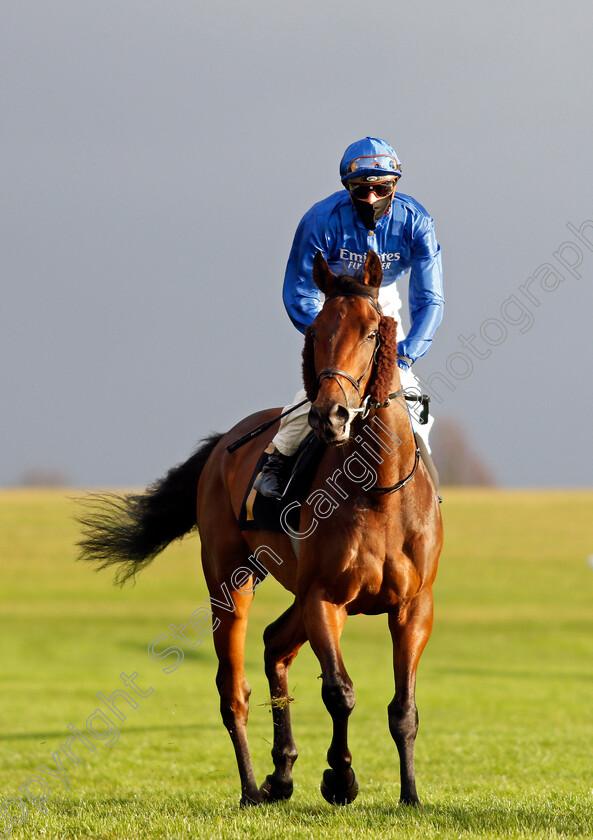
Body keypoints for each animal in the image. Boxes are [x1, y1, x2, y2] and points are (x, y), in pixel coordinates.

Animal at [77, 249, 440, 808]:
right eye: (317, 331)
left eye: (370, 331)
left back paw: (281, 773)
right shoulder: (324, 598)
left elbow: (403, 709)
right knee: (234, 689)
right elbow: (339, 691)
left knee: (273, 644)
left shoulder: (412, 606)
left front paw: (409, 795)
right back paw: (252, 786)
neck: (377, 490)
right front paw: (341, 777)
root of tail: (223, 443)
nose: (330, 414)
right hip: (231, 580)